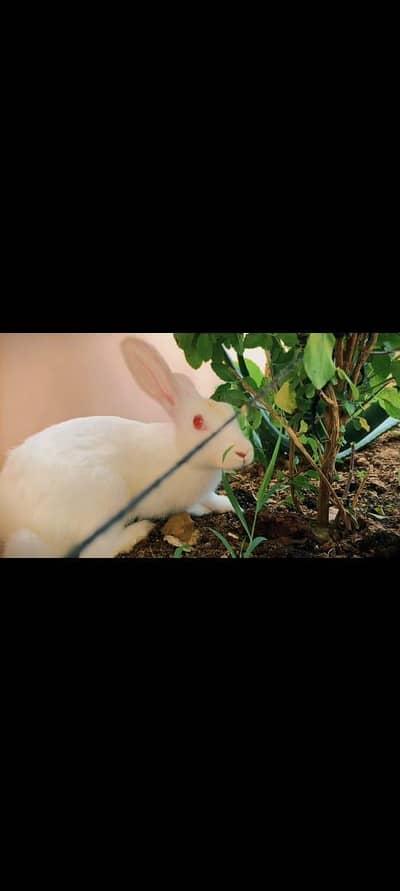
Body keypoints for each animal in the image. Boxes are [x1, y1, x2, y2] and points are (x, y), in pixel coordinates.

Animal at [0, 336, 254, 557]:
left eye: (228, 410)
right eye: (198, 422)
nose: (245, 452)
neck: (183, 453)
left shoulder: (204, 492)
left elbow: (212, 498)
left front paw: (230, 507)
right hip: (106, 499)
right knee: (97, 551)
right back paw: (140, 530)